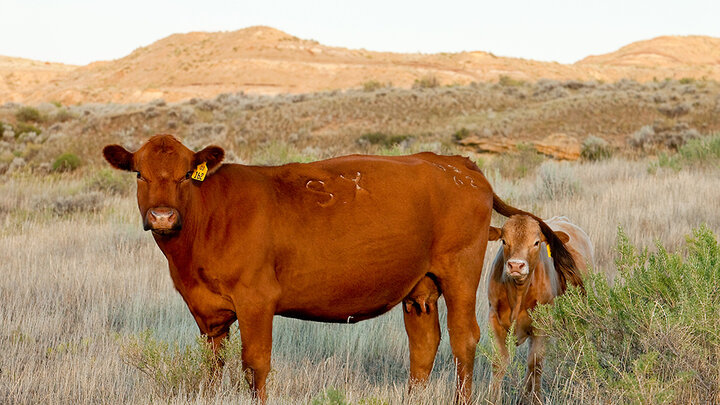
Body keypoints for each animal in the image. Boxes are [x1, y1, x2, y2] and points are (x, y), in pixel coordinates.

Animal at [101, 135, 576, 400]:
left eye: (185, 175)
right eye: (140, 174)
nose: (163, 216)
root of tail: (460, 165)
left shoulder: (256, 301)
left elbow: (256, 365)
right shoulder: (206, 313)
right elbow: (212, 367)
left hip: (459, 271)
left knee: (465, 341)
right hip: (419, 288)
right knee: (424, 345)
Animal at [486, 215, 592, 400]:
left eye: (536, 242)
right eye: (504, 241)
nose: (516, 265)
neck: (518, 293)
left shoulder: (542, 326)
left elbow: (535, 364)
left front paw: (535, 399)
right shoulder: (494, 319)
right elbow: (499, 362)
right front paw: (492, 399)